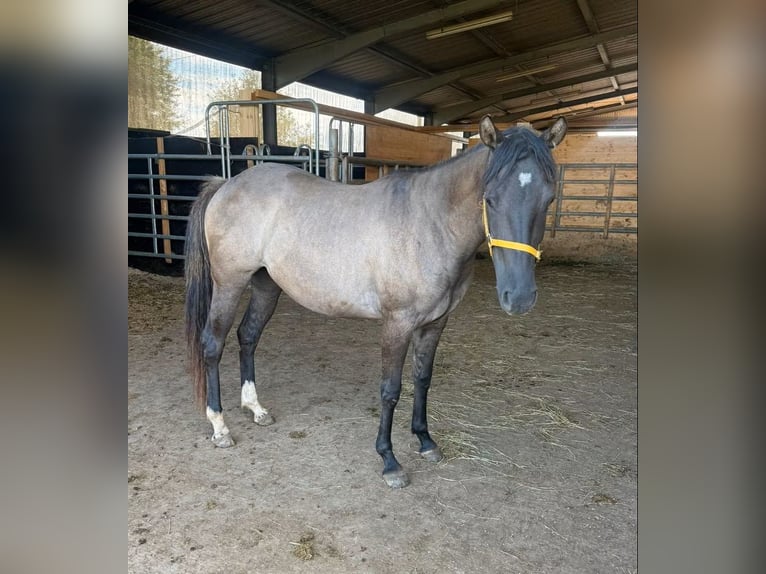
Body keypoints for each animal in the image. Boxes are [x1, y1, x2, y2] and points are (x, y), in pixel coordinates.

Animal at [184, 115, 567, 488]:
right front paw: (389, 461)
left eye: (548, 199)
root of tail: (227, 184)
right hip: (229, 283)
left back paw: (256, 409)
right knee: (213, 344)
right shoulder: (397, 323)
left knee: (247, 337)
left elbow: (422, 379)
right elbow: (390, 390)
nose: (519, 297)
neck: (428, 225)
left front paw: (425, 441)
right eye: (490, 199)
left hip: (266, 286)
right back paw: (219, 425)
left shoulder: (435, 323)